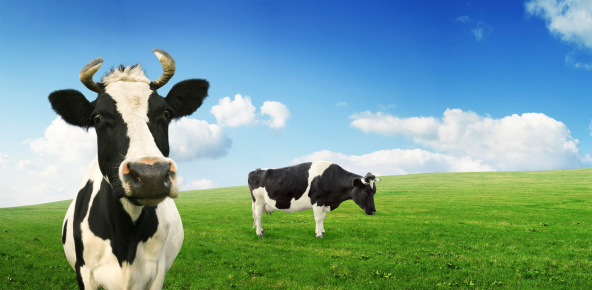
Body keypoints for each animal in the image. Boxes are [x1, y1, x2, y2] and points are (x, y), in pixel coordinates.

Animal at [50, 48, 210, 288]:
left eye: (167, 113)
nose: (151, 175)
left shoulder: (157, 273)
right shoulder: (84, 271)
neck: (126, 237)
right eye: (97, 117)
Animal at [247, 161, 382, 238]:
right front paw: (319, 234)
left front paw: (322, 231)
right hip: (258, 200)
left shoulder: (325, 202)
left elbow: (322, 218)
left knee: (258, 217)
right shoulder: (318, 200)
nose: (373, 211)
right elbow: (318, 218)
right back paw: (259, 233)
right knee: (258, 216)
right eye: (365, 192)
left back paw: (262, 230)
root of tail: (257, 170)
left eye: (374, 192)